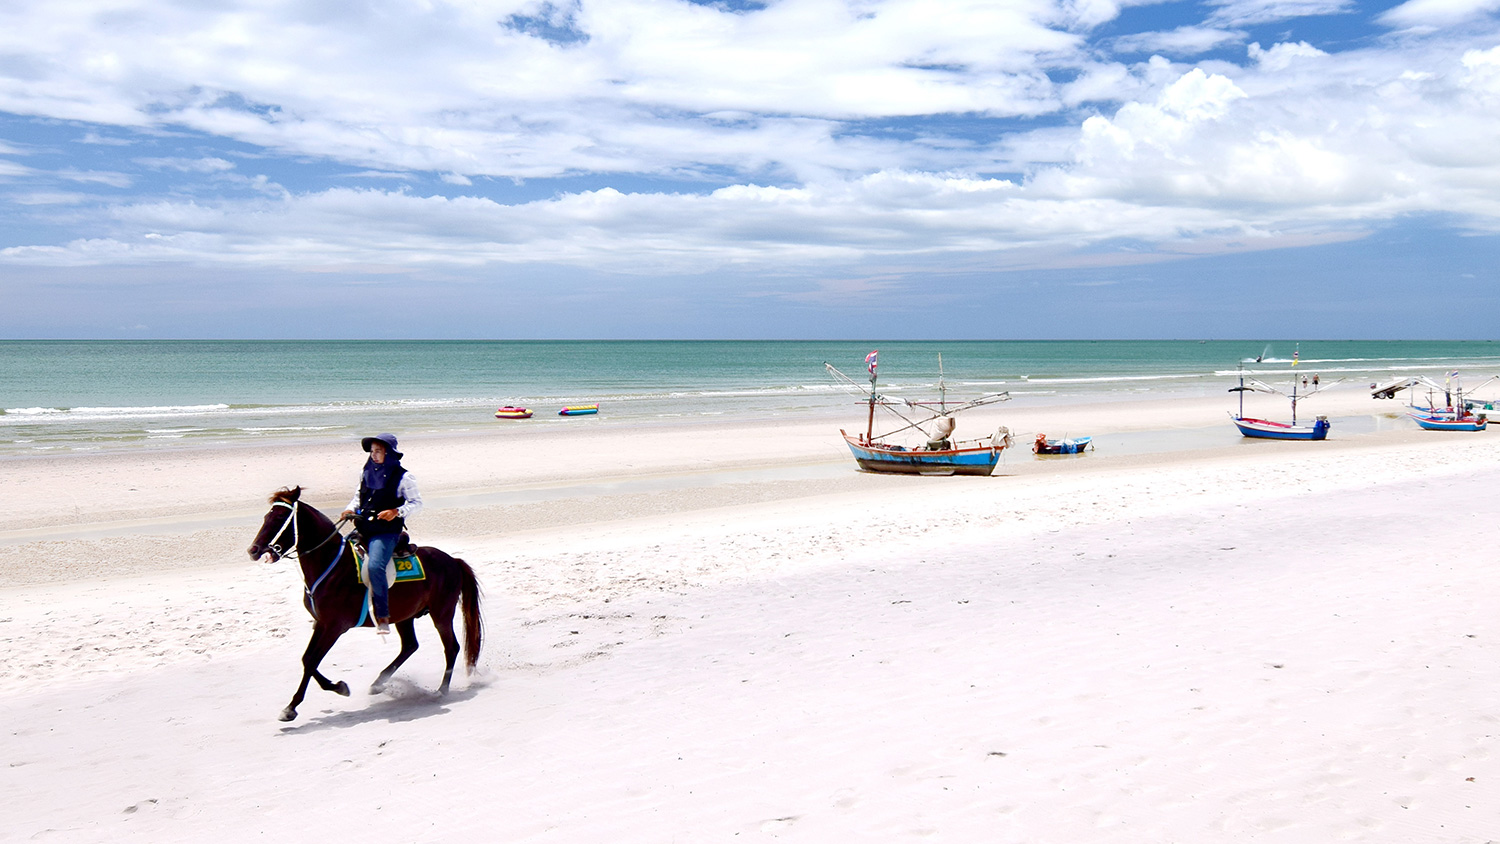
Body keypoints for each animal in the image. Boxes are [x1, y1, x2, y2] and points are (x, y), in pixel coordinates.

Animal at [244, 488, 480, 719]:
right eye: (266, 517)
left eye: (280, 517)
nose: (253, 550)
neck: (332, 566)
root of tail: (453, 561)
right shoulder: (321, 623)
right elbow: (307, 659)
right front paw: (337, 687)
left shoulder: (335, 627)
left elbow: (311, 661)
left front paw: (292, 707)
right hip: (404, 616)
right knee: (410, 645)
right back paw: (378, 684)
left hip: (442, 613)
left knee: (451, 647)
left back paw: (441, 691)